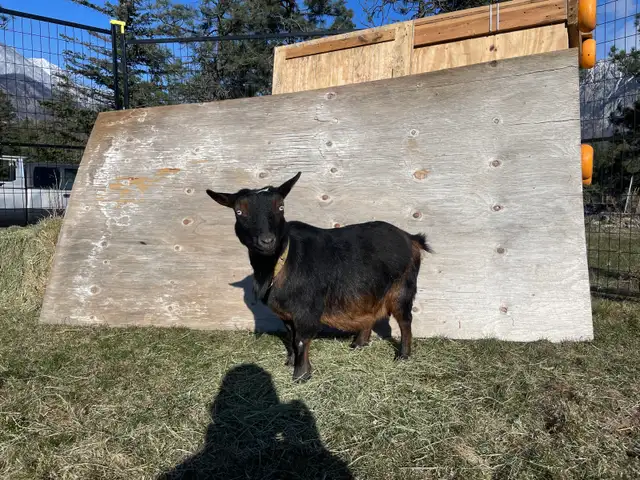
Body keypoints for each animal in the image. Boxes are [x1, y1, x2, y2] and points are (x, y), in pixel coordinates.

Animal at [206, 172, 431, 382]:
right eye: (239, 211)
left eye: (281, 207)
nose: (267, 241)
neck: (280, 262)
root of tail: (410, 238)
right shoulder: (286, 315)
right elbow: (290, 337)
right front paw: (290, 362)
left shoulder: (307, 310)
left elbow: (301, 340)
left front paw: (301, 375)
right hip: (370, 289)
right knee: (369, 312)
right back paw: (359, 344)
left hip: (402, 287)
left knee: (405, 321)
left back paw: (403, 356)